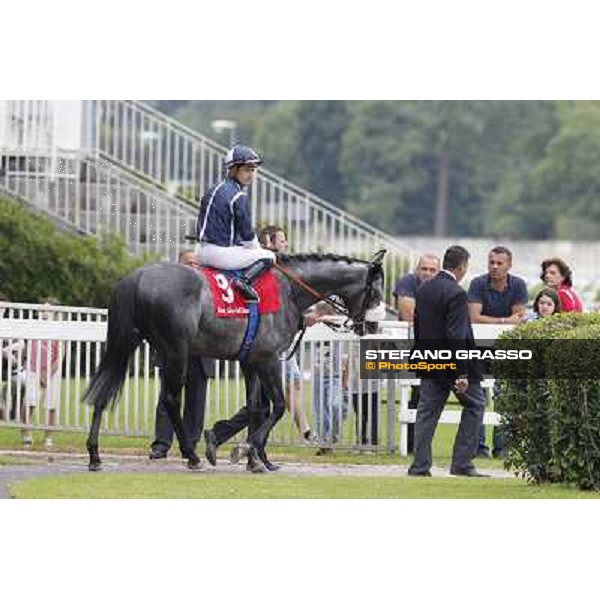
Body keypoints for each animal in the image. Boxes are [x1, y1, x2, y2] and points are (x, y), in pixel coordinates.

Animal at [83, 251, 384, 472]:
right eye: (376, 293)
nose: (372, 326)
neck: (288, 289)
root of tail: (137, 276)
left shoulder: (250, 361)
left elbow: (254, 408)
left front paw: (257, 460)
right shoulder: (268, 360)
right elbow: (278, 406)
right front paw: (248, 449)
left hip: (128, 342)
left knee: (102, 390)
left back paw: (95, 455)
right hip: (175, 351)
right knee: (170, 399)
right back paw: (191, 455)